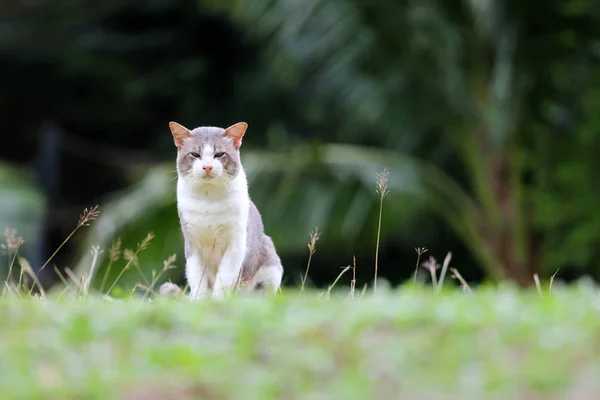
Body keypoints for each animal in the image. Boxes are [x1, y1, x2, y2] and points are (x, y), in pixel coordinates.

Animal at [161, 120, 284, 298]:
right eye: (195, 154)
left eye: (219, 154)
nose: (207, 167)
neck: (208, 199)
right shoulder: (192, 244)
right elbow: (198, 282)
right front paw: (200, 302)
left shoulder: (235, 244)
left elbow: (223, 280)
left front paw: (218, 302)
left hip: (270, 264)